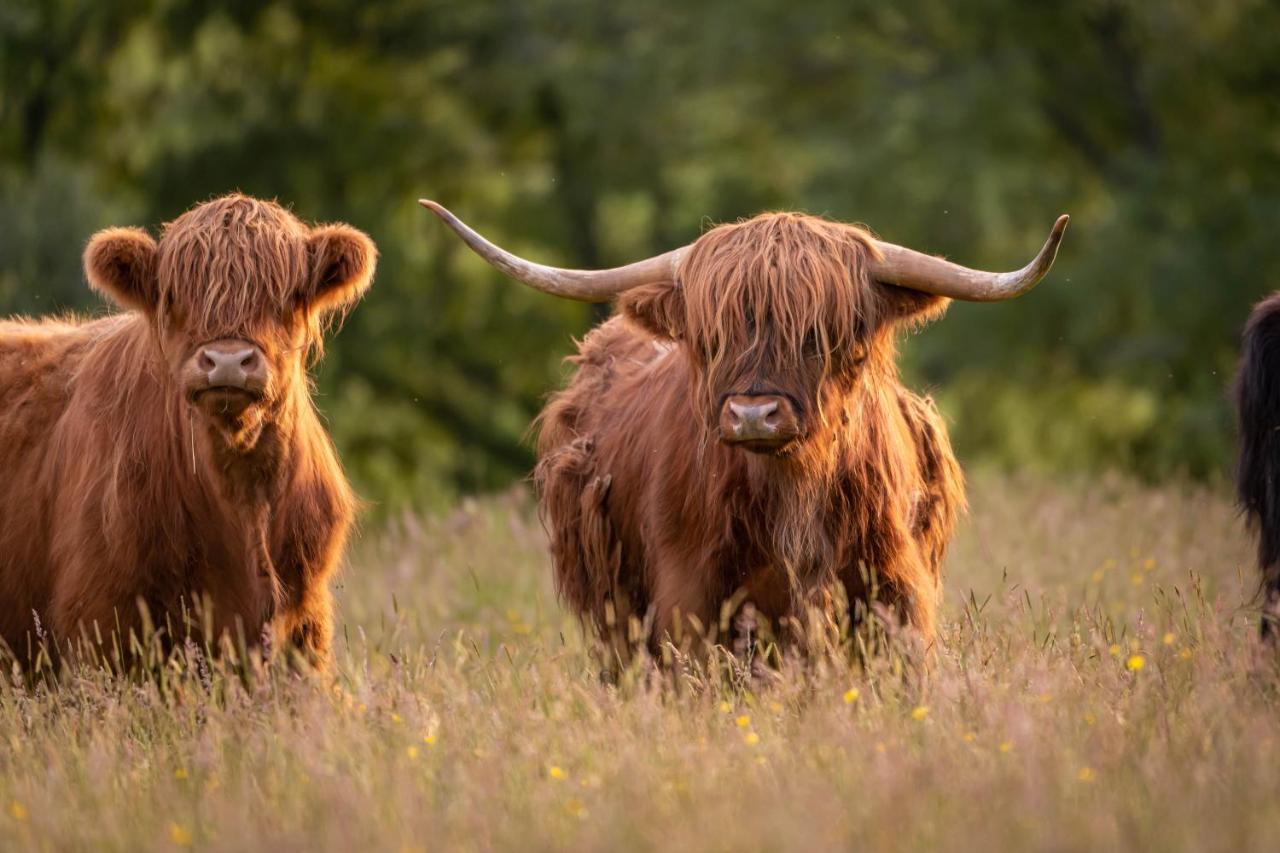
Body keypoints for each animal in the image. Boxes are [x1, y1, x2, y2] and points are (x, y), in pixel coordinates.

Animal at [422, 199, 1070, 655]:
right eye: (714, 336)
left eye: (822, 333)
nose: (754, 414)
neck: (794, 495)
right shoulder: (689, 604)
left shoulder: (896, 596)